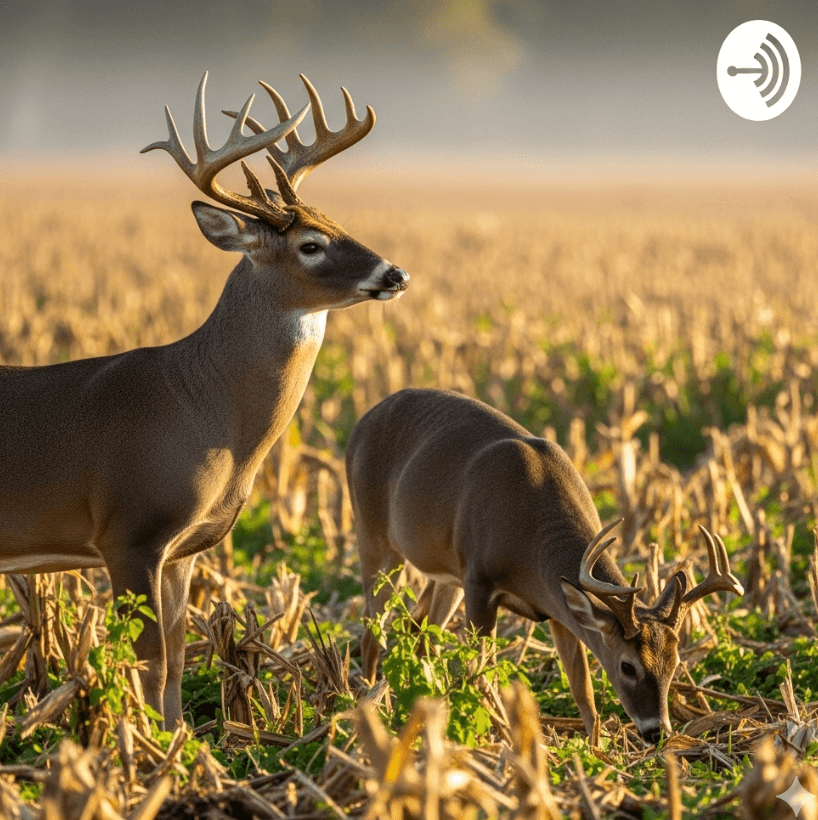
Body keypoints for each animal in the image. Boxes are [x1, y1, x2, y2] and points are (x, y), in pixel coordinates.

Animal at [0, 72, 408, 728]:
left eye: (335, 220)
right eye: (311, 245)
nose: (395, 274)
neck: (202, 408)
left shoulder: (184, 549)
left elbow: (174, 660)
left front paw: (179, 739)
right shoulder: (129, 532)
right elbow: (152, 662)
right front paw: (150, 746)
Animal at [346, 388, 743, 744]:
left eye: (674, 663)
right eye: (628, 666)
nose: (656, 732)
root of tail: (360, 423)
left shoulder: (557, 608)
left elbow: (582, 689)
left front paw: (599, 753)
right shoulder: (479, 580)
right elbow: (480, 670)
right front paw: (509, 737)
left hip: (445, 577)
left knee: (419, 633)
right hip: (375, 538)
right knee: (372, 630)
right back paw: (370, 705)